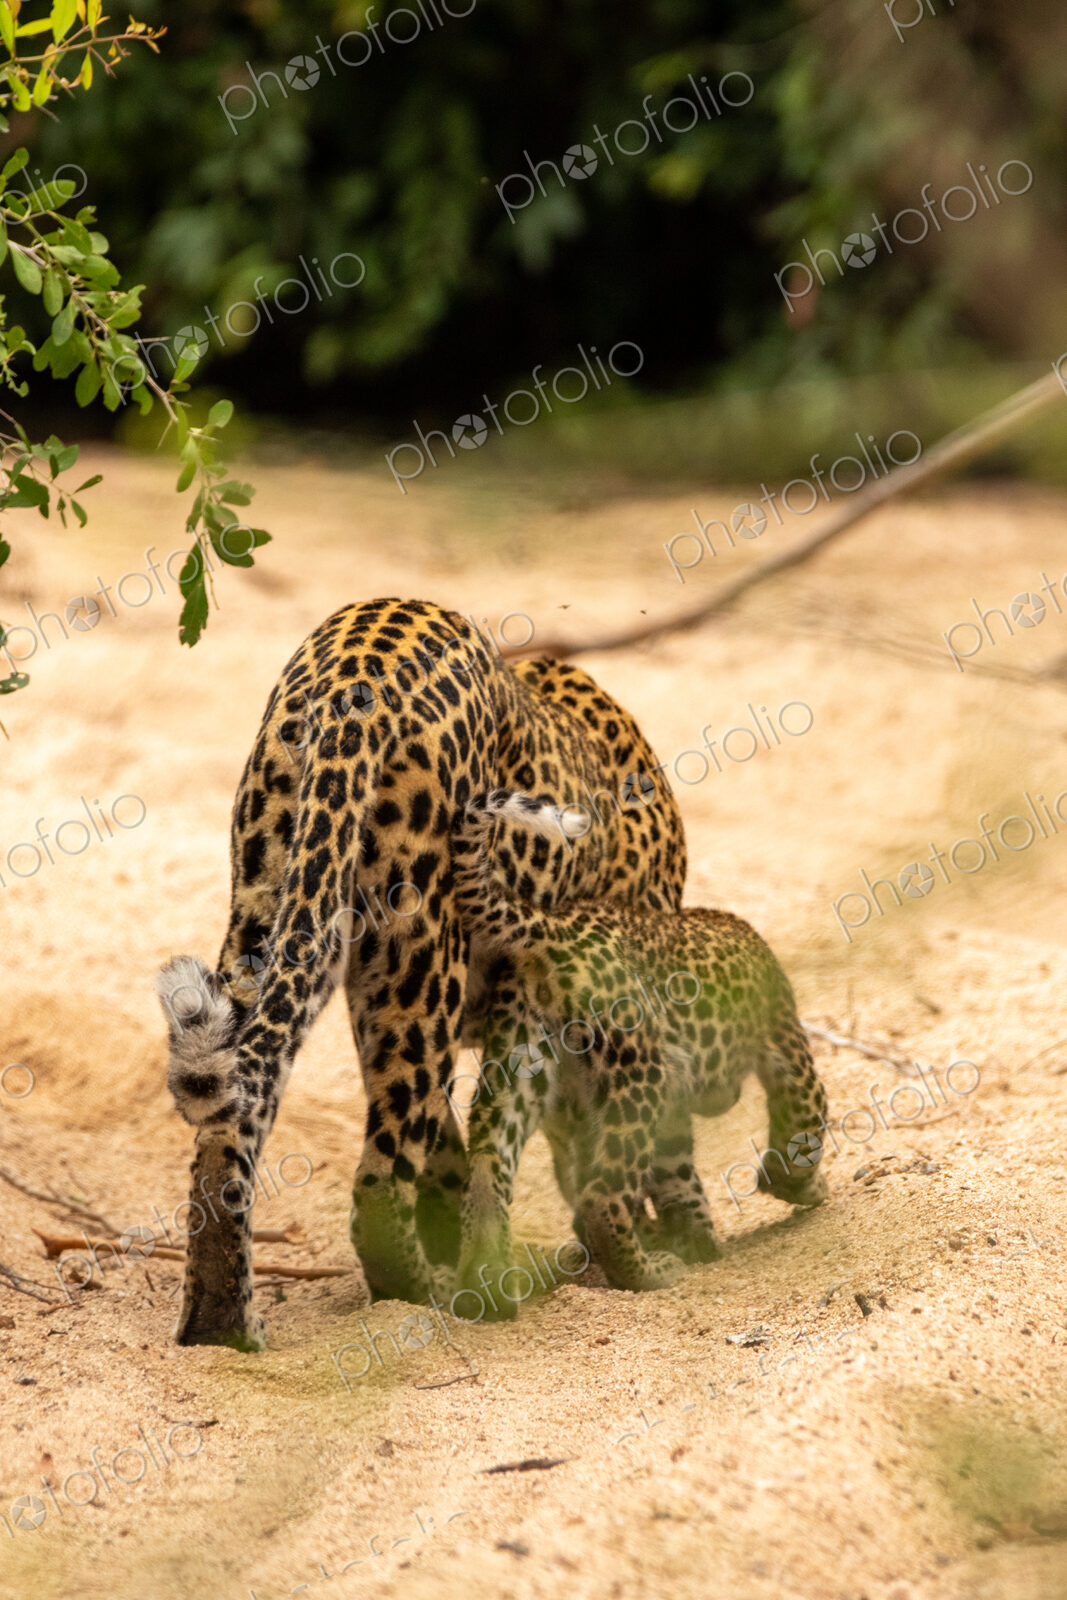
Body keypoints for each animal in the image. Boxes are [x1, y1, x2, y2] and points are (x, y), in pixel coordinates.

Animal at [154, 598, 686, 1349]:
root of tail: (351, 670)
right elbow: (505, 1122)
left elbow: (462, 1136)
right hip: (420, 955)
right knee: (376, 1180)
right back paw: (416, 1290)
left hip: (271, 910)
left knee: (232, 1119)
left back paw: (220, 1322)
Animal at [450, 790, 830, 1300]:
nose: (727, 1097)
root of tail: (551, 926)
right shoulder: (784, 1040)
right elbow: (804, 1121)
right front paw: (801, 1187)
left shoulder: (671, 1109)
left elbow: (678, 1176)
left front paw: (698, 1240)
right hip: (637, 1070)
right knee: (600, 1196)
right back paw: (645, 1273)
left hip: (521, 1060)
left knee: (488, 1165)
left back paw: (483, 1278)